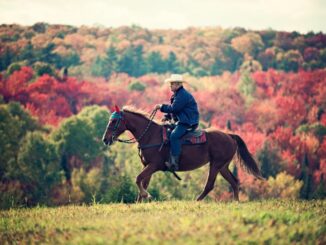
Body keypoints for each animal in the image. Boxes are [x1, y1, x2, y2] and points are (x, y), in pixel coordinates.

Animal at [103, 106, 264, 202]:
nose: (105, 139)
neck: (150, 135)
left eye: (114, 121)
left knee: (210, 185)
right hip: (222, 166)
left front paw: (145, 195)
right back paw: (236, 202)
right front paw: (140, 201)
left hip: (215, 165)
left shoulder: (153, 165)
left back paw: (197, 201)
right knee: (234, 182)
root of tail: (230, 135)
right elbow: (143, 182)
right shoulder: (147, 166)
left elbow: (138, 179)